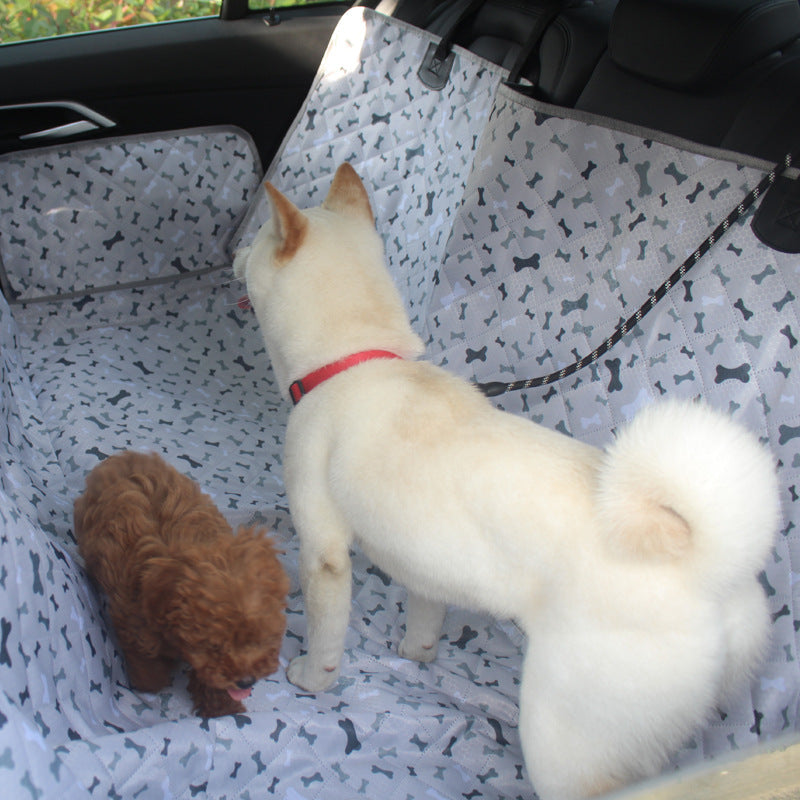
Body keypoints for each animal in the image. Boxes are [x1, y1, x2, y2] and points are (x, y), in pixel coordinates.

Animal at [233, 164, 780, 800]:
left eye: (258, 240)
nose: (235, 252)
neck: (354, 359)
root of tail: (709, 572)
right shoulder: (431, 567)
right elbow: (426, 618)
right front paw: (415, 653)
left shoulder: (322, 551)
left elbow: (324, 634)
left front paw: (309, 679)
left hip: (562, 739)